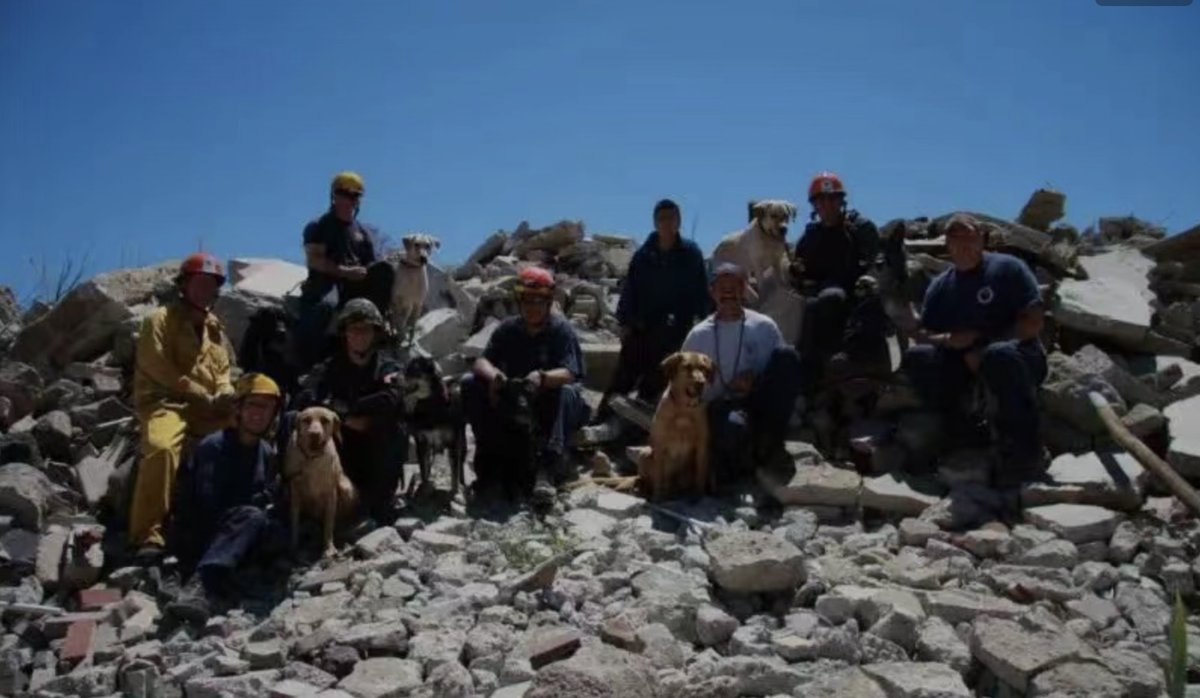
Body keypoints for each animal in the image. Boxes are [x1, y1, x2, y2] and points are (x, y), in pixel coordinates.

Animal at [286, 405, 360, 558]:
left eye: (325, 420)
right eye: (306, 420)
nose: (314, 434)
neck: (311, 459)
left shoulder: (330, 494)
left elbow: (329, 524)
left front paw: (328, 547)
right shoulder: (295, 492)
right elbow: (294, 522)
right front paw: (293, 545)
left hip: (346, 488)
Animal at [398, 357, 463, 501]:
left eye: (413, 370)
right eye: (405, 368)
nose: (393, 379)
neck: (431, 405)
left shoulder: (453, 444)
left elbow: (454, 473)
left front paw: (455, 493)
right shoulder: (422, 443)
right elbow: (424, 471)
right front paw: (424, 490)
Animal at [643, 352, 715, 501]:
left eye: (704, 368)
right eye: (687, 367)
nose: (701, 383)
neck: (684, 408)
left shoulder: (702, 445)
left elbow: (700, 475)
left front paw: (698, 495)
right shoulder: (659, 445)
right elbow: (658, 475)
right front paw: (657, 498)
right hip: (645, 453)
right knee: (646, 480)